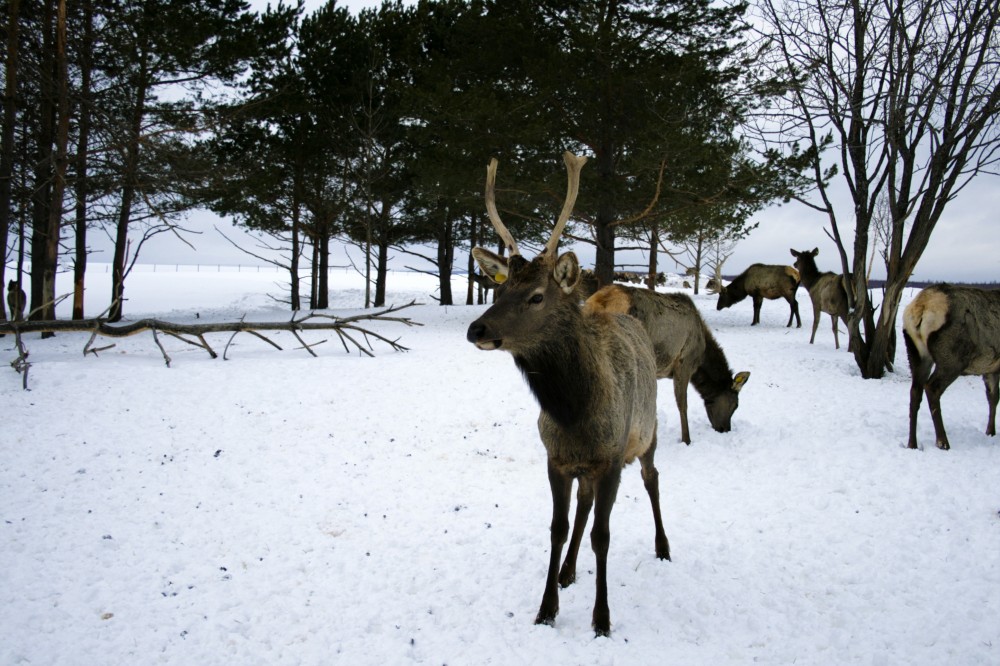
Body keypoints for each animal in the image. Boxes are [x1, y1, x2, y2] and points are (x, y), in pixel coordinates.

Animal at [464, 150, 668, 632]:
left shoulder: (611, 458)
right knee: (584, 503)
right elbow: (559, 527)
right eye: (499, 287)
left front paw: (602, 618)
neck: (574, 414)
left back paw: (663, 546)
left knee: (652, 478)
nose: (476, 329)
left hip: (648, 433)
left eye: (537, 296)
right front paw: (546, 607)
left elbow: (603, 536)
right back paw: (569, 571)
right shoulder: (556, 458)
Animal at [584, 282, 752, 444]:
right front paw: (686, 440)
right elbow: (682, 404)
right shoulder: (684, 363)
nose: (725, 429)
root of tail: (600, 302)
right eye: (736, 405)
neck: (701, 359)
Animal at [900, 282, 1000, 448]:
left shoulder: (991, 368)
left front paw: (990, 432)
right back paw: (942, 442)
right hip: (952, 358)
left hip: (916, 353)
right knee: (932, 388)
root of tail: (921, 305)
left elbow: (992, 397)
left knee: (915, 391)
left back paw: (912, 443)